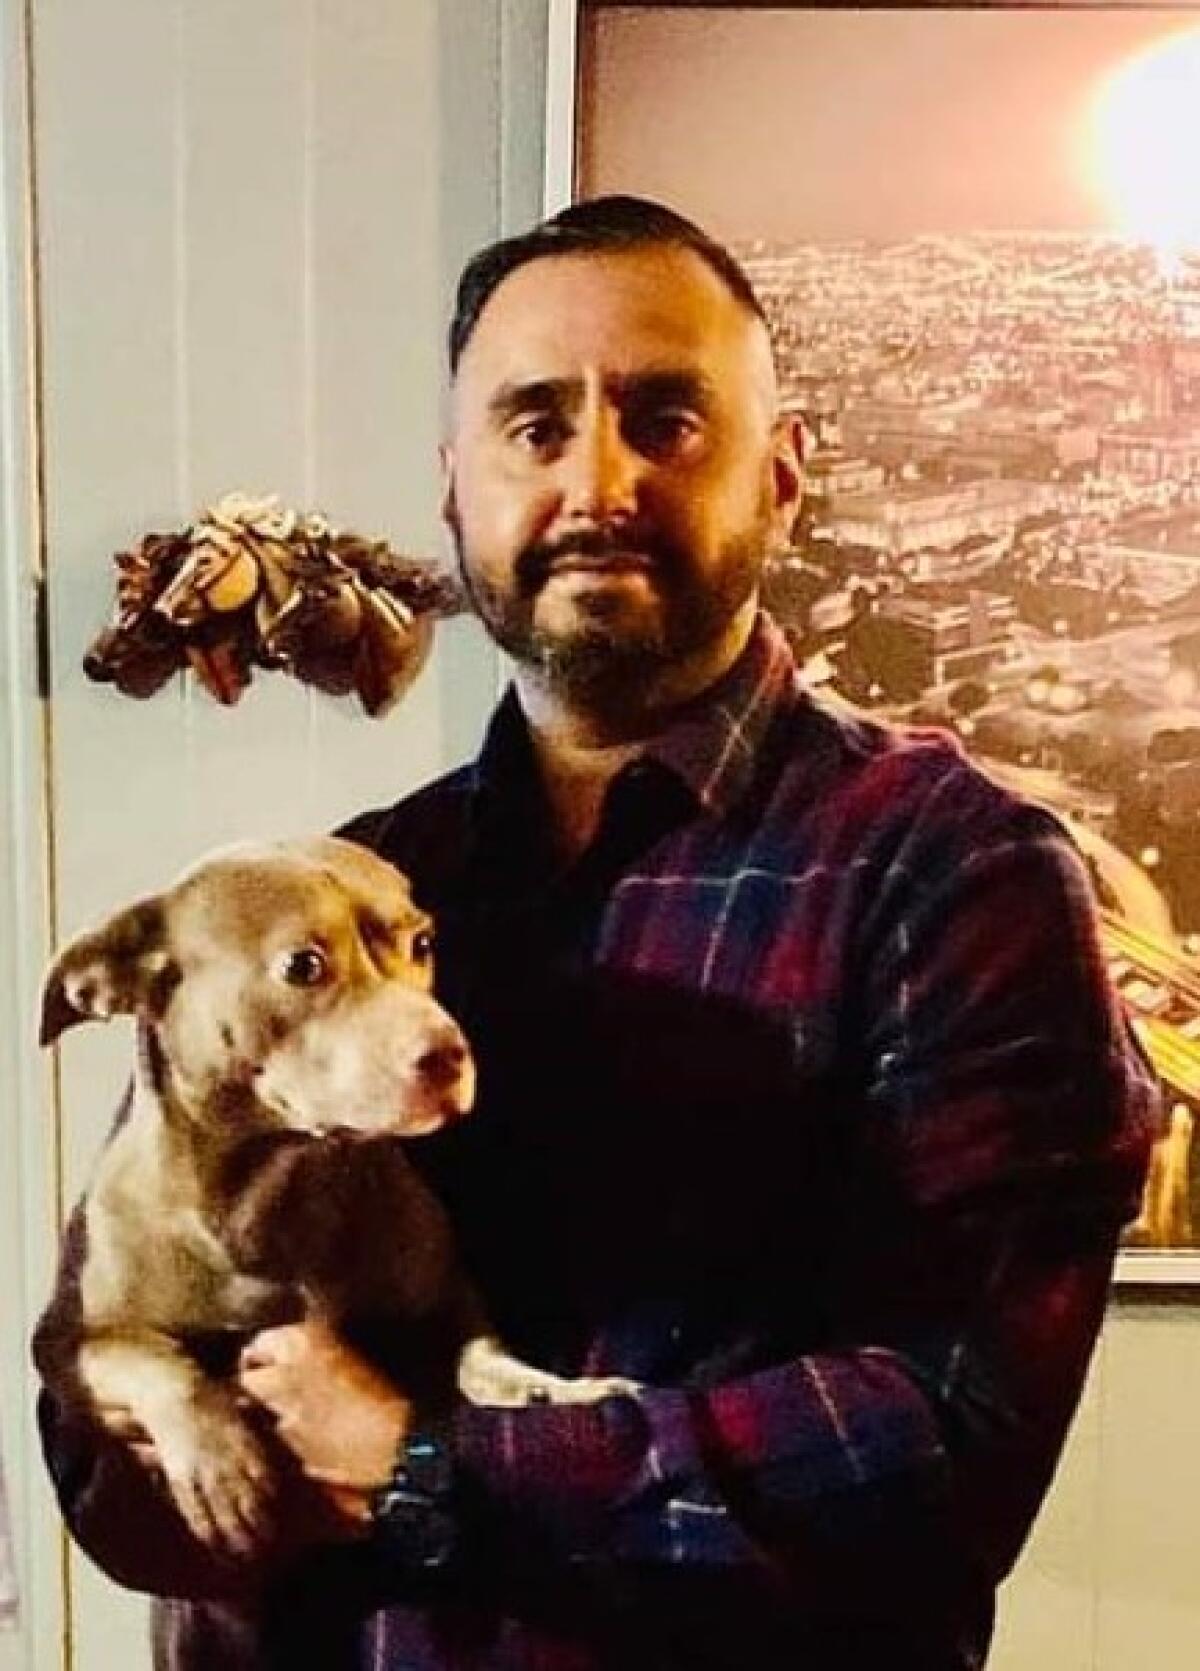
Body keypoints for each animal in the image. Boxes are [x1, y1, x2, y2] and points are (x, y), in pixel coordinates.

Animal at [30, 842, 628, 1557]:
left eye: (422, 943)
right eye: (304, 966)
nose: (451, 1054)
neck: (276, 1182)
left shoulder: (446, 1293)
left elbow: (481, 1354)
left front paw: (548, 1390)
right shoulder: (64, 1342)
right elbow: (147, 1357)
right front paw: (219, 1458)